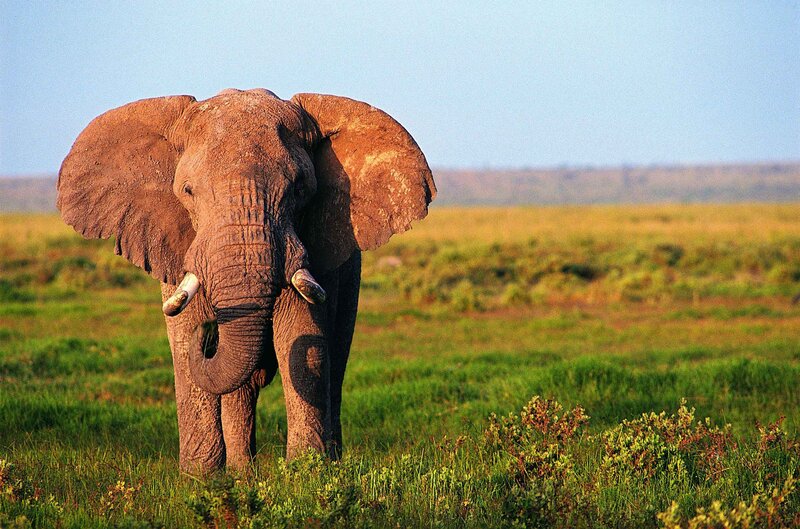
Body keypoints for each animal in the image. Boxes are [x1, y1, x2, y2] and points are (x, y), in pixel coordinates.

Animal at [56, 88, 436, 474]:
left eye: (299, 189)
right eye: (187, 191)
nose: (209, 335)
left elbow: (300, 335)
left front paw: (305, 474)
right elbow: (185, 342)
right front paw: (201, 479)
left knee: (334, 359)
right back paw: (242, 474)